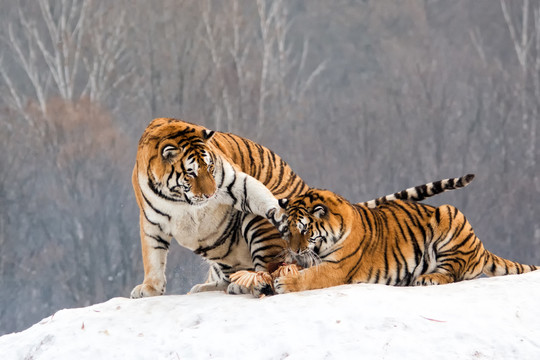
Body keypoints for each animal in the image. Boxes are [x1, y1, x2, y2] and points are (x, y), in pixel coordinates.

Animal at [132, 116, 476, 296]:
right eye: (191, 172)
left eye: (209, 166)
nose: (209, 193)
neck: (184, 201)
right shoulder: (152, 221)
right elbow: (153, 259)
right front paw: (149, 289)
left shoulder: (235, 181)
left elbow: (261, 198)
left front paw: (279, 213)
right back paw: (209, 286)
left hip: (253, 225)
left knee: (266, 269)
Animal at [272, 187, 536, 294]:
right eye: (288, 231)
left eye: (304, 230)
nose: (294, 251)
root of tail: (480, 247)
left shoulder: (336, 268)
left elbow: (309, 277)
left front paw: (284, 283)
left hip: (450, 214)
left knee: (452, 272)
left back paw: (428, 278)